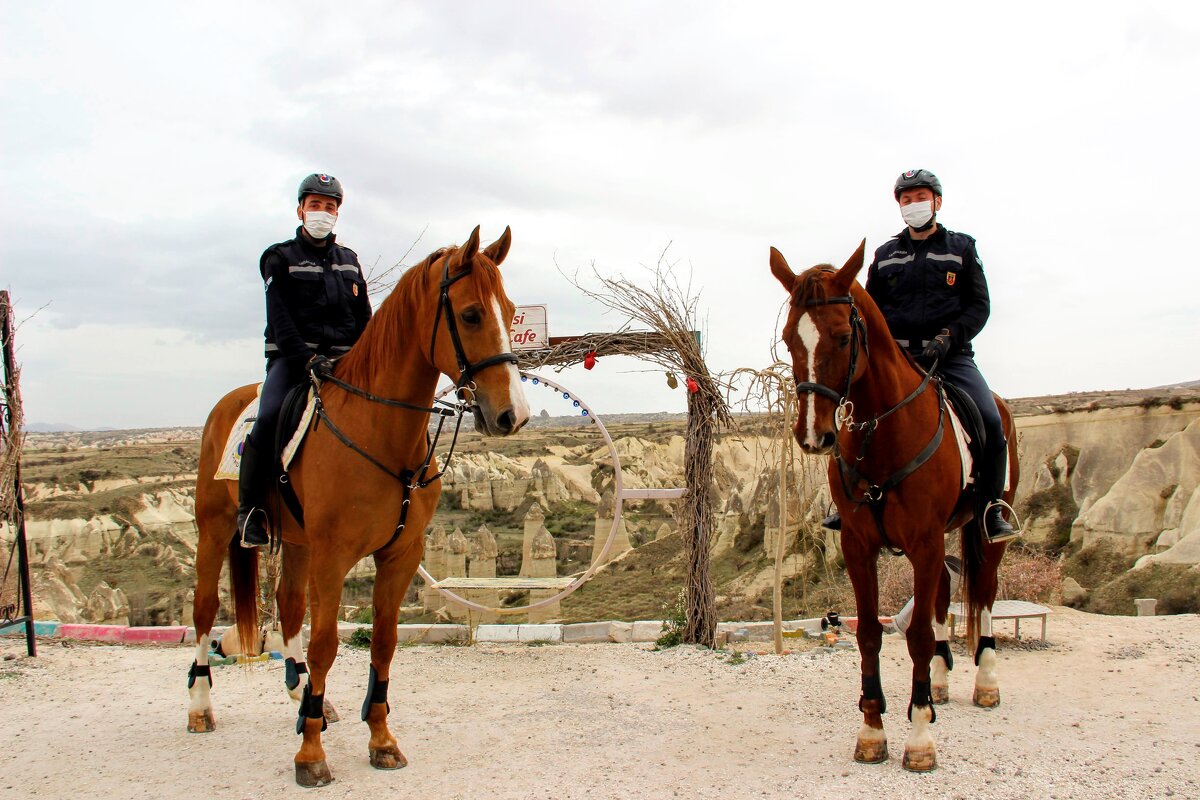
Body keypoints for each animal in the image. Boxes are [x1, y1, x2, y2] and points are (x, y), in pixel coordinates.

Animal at [186, 225, 530, 786]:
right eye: (471, 314)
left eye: (510, 309)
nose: (512, 415)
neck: (380, 434)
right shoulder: (333, 557)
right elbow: (327, 643)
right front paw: (310, 754)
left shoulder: (400, 555)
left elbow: (385, 642)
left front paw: (380, 739)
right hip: (216, 531)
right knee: (203, 611)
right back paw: (200, 706)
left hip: (296, 544)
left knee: (287, 606)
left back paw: (306, 698)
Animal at [772, 241, 1017, 772]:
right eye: (788, 339)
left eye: (844, 337)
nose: (814, 435)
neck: (882, 437)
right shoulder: (858, 546)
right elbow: (868, 633)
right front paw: (872, 730)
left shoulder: (922, 543)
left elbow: (918, 634)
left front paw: (920, 737)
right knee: (945, 590)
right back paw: (940, 681)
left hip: (985, 533)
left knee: (985, 592)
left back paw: (986, 681)